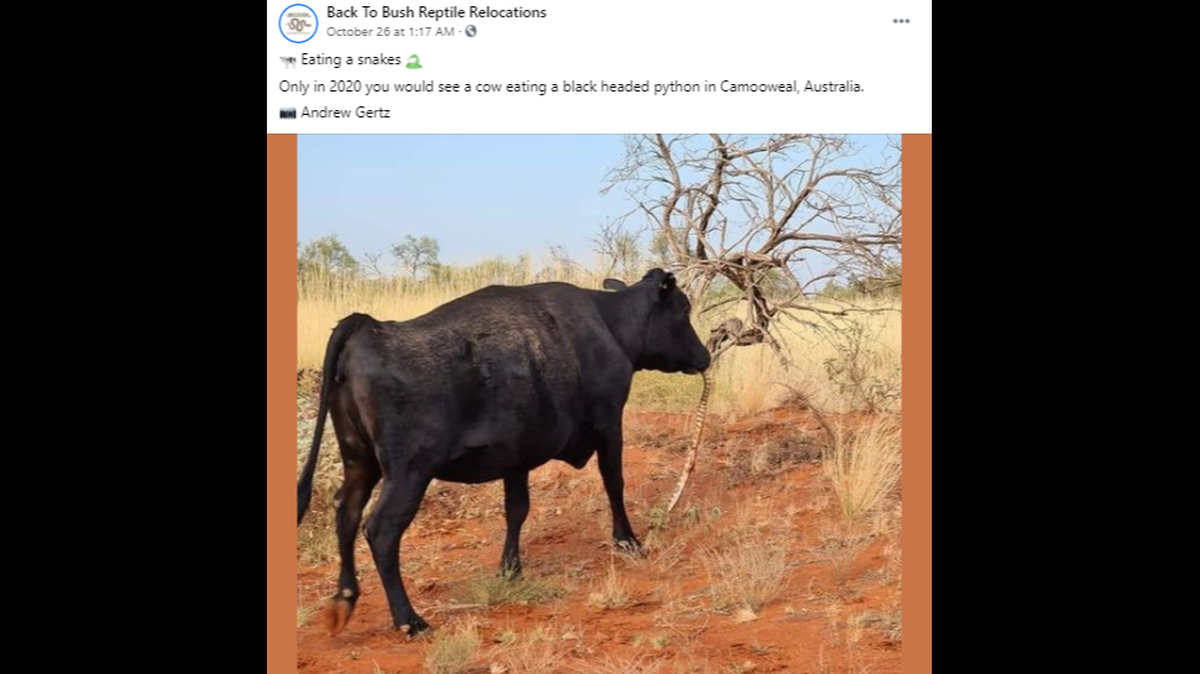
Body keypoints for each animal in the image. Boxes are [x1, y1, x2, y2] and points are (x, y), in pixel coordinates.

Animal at [296, 269, 711, 637]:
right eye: (684, 309)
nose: (705, 356)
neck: (609, 323)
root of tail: (369, 326)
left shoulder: (517, 454)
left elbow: (516, 509)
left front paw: (510, 569)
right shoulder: (609, 422)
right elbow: (614, 481)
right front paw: (628, 540)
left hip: (360, 461)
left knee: (346, 512)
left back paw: (345, 599)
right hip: (408, 472)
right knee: (381, 530)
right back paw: (409, 619)